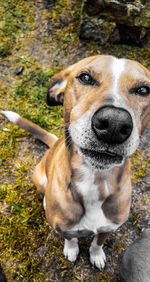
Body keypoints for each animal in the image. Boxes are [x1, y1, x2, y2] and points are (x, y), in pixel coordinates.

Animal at [1, 54, 150, 268]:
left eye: (143, 90)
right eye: (85, 77)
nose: (114, 123)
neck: (94, 180)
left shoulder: (108, 228)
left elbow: (97, 242)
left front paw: (96, 255)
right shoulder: (64, 227)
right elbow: (71, 239)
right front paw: (71, 250)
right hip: (39, 178)